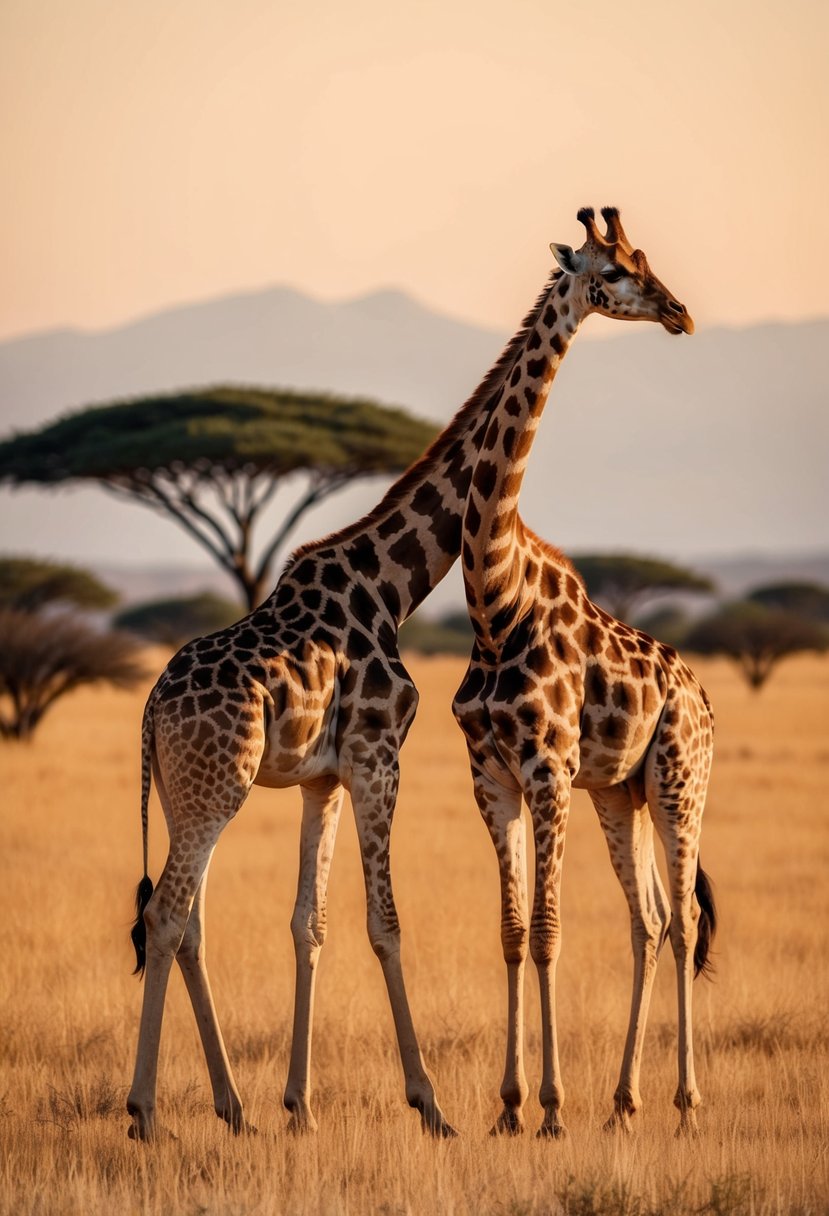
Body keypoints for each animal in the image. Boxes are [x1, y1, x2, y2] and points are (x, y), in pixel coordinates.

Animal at [125, 276, 558, 1142]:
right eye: (619, 275)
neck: (391, 585)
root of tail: (151, 708)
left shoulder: (321, 779)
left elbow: (309, 923)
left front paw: (300, 1108)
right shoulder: (377, 757)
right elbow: (384, 922)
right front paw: (429, 1105)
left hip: (190, 793)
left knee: (188, 920)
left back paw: (234, 1107)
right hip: (215, 788)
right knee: (165, 912)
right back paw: (146, 1112)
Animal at [452, 206, 716, 1139]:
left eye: (642, 259)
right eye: (611, 271)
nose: (679, 312)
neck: (492, 598)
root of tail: (705, 701)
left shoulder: (548, 769)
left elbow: (546, 930)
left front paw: (550, 1108)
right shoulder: (492, 776)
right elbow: (507, 931)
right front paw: (507, 1107)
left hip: (677, 782)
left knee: (684, 921)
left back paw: (683, 1101)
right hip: (619, 793)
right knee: (650, 919)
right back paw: (625, 1101)